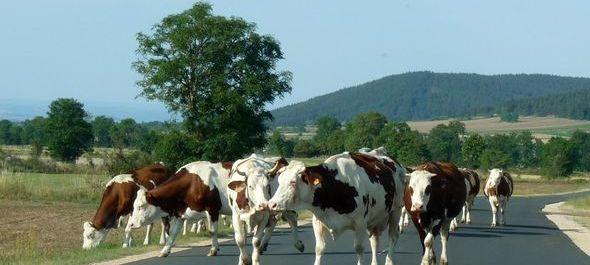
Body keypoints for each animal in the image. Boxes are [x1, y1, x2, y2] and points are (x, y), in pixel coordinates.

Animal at [270, 152, 404, 265]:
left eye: (293, 182)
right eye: (279, 181)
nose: (272, 204)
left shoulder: (360, 223)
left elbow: (359, 248)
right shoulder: (317, 221)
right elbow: (319, 248)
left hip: (396, 210)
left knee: (393, 236)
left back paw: (389, 261)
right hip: (375, 220)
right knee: (375, 241)